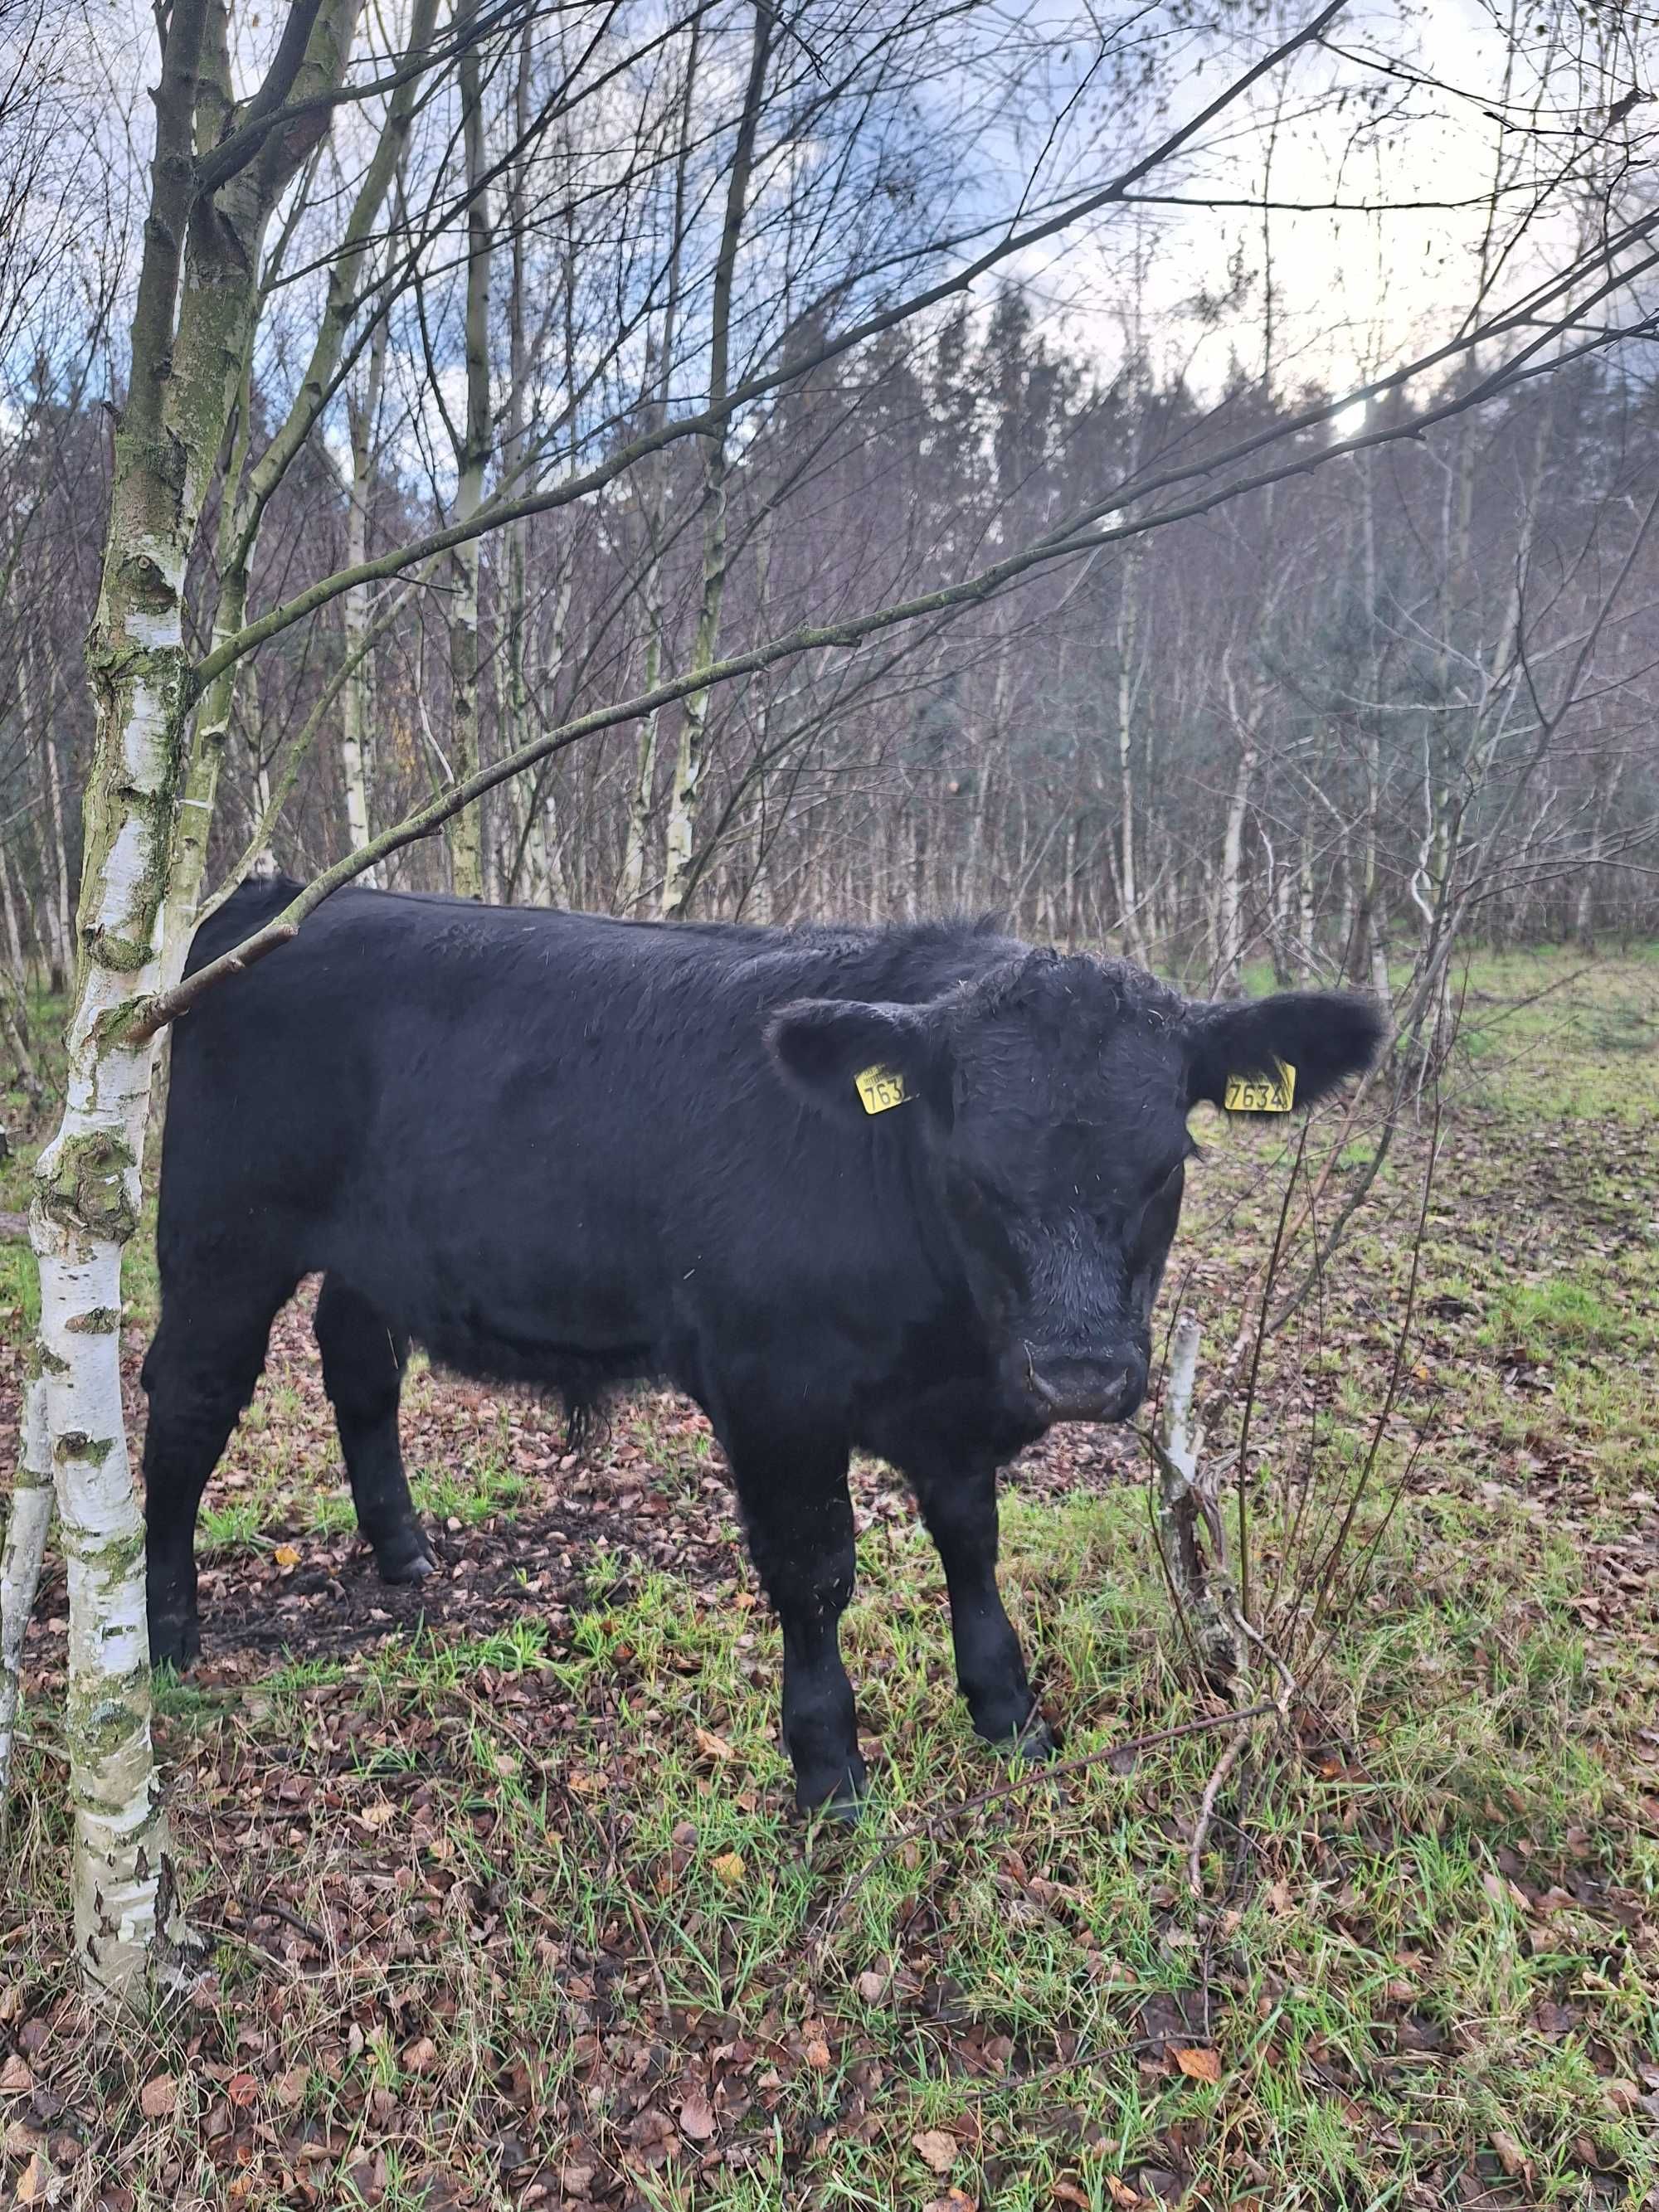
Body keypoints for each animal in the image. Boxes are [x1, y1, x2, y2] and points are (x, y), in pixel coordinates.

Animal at [146, 880, 1389, 1813]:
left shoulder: (953, 1413)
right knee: (184, 1408)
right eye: (972, 1169)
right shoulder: (773, 1393)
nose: (1078, 1371)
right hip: (219, 1238)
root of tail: (278, 898)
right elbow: (815, 1571)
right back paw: (164, 1629)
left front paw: (1009, 1716)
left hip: (367, 1249)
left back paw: (401, 1550)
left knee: (357, 1362)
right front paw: (830, 1770)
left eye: (1167, 1162)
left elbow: (971, 1544)